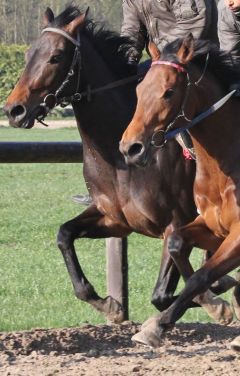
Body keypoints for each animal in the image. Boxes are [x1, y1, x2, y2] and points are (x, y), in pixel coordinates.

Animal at [3, 5, 235, 324]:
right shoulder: (115, 220)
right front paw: (107, 304)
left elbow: (163, 295)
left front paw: (219, 297)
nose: (14, 110)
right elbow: (64, 235)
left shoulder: (175, 221)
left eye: (56, 56)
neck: (118, 160)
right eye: (28, 55)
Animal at [120, 33, 240, 346]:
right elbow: (176, 243)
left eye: (169, 92)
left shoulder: (237, 234)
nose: (131, 148)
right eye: (139, 90)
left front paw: (159, 324)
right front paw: (214, 304)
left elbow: (201, 275)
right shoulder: (214, 228)